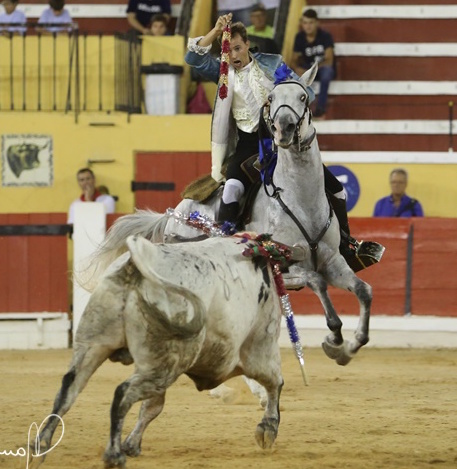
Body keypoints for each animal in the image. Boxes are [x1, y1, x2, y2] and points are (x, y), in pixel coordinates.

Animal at [37, 235, 285, 468]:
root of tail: (135, 266)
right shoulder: (259, 346)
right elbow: (274, 383)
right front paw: (268, 429)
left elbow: (152, 407)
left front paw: (132, 444)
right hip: (164, 365)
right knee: (123, 393)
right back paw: (113, 455)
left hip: (95, 343)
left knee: (69, 388)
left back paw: (41, 444)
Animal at [88, 63, 373, 367]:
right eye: (271, 98)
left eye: (304, 98)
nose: (284, 128)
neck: (301, 200)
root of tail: (175, 213)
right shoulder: (284, 267)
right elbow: (317, 282)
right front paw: (334, 338)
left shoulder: (333, 262)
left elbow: (363, 291)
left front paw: (349, 346)